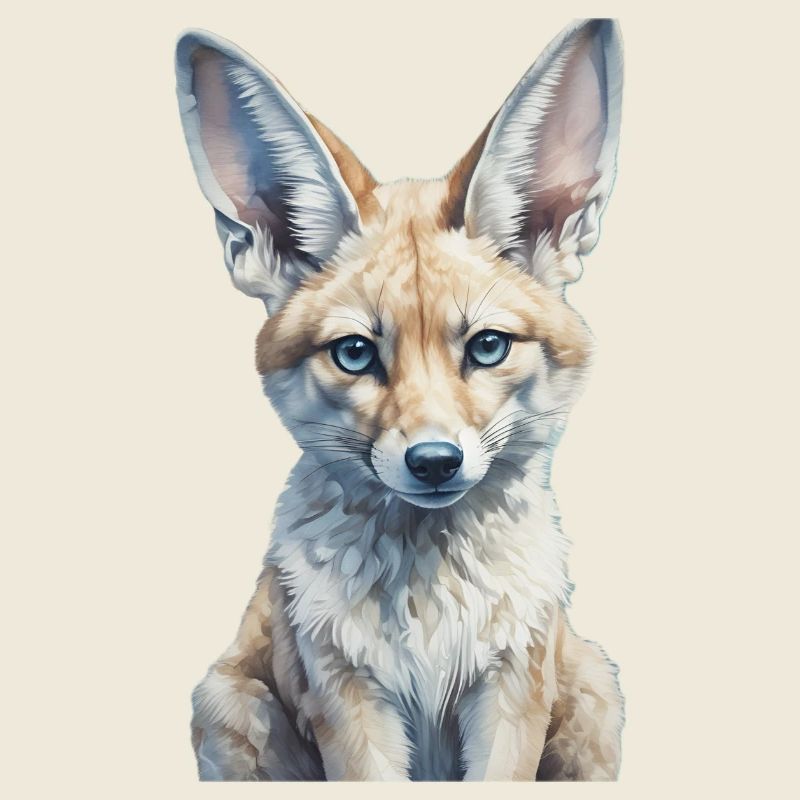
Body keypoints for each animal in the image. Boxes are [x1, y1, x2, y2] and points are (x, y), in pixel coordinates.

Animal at [175, 17, 624, 781]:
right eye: (356, 353)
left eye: (487, 346)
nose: (435, 462)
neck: (431, 608)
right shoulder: (347, 698)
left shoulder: (512, 689)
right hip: (226, 705)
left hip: (596, 692)